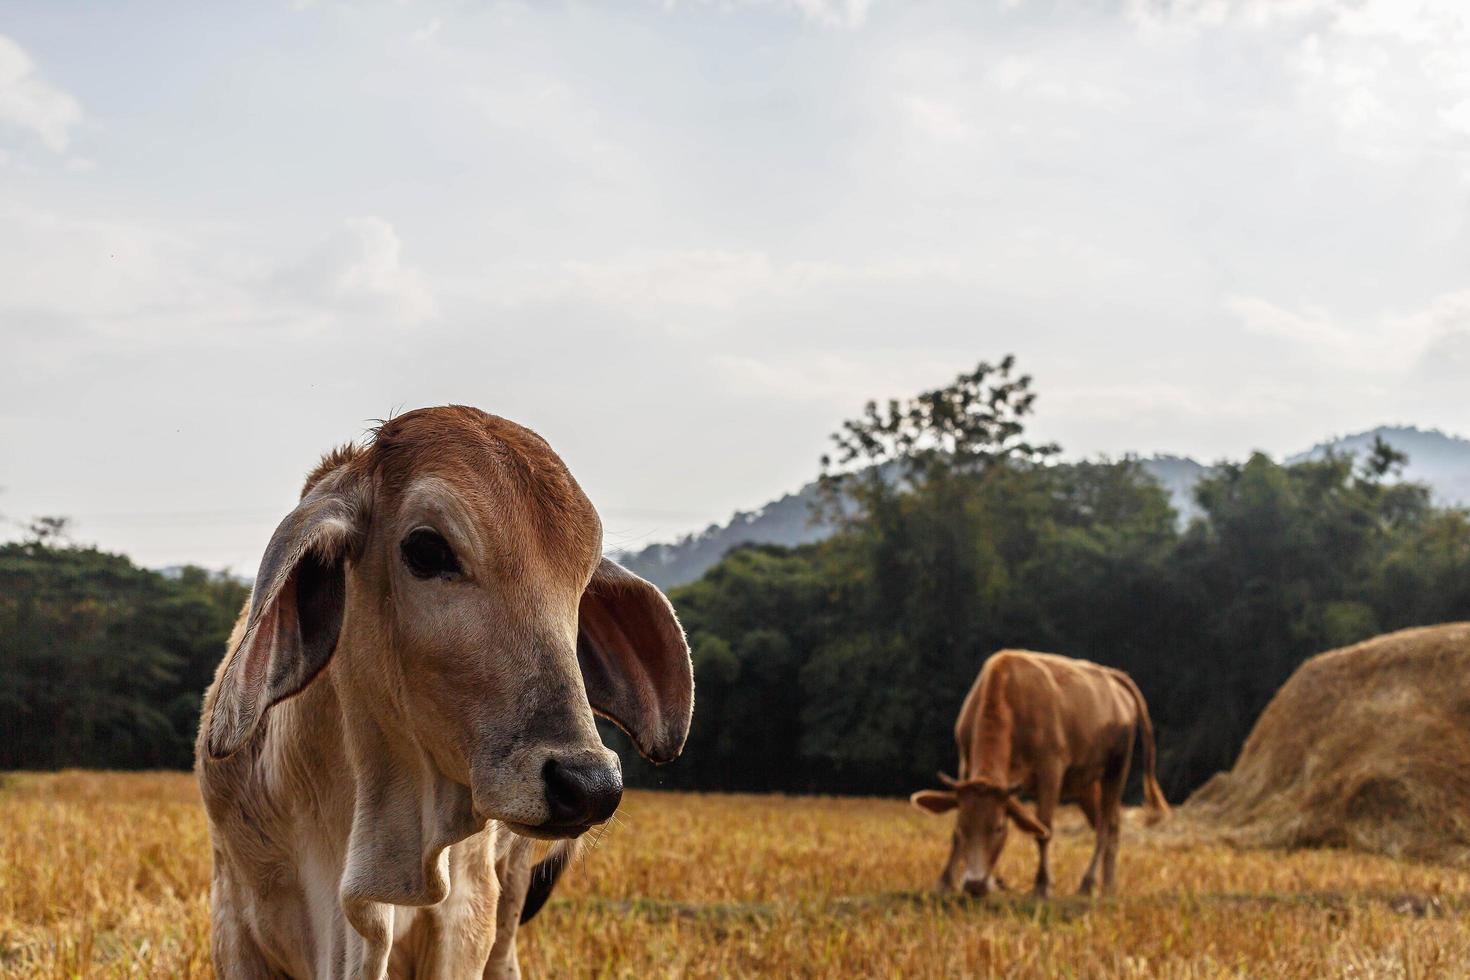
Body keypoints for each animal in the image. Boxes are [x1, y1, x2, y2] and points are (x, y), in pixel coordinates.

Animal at [905, 652, 1170, 899]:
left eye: (999, 828)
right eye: (963, 825)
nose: (975, 884)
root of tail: (1113, 675)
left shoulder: (1051, 768)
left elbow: (1044, 828)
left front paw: (1042, 885)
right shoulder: (967, 764)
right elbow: (956, 834)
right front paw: (944, 882)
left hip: (1117, 767)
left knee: (1106, 825)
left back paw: (1090, 883)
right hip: (1086, 783)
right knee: (1107, 823)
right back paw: (1107, 884)